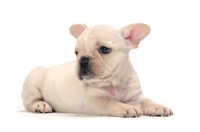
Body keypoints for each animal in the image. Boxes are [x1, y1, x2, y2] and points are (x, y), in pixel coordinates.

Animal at [21, 23, 173, 117]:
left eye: (105, 49)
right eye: (76, 53)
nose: (83, 59)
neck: (115, 84)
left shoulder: (136, 96)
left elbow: (148, 101)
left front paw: (159, 107)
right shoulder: (94, 101)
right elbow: (110, 102)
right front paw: (125, 107)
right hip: (34, 79)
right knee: (29, 102)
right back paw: (41, 105)